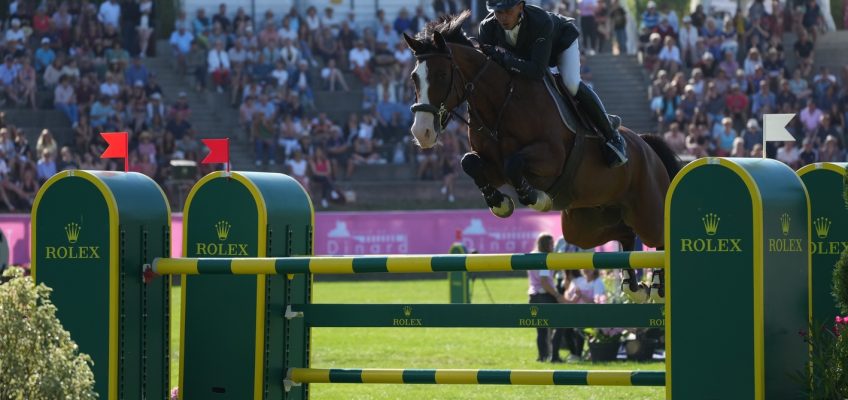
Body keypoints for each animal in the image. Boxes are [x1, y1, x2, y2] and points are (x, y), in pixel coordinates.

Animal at [400, 10, 680, 300]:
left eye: (442, 74)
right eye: (414, 78)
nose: (422, 133)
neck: (502, 103)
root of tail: (646, 145)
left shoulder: (551, 157)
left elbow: (514, 164)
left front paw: (535, 198)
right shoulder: (492, 166)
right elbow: (471, 163)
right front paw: (499, 202)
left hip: (647, 209)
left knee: (657, 236)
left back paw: (658, 286)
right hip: (587, 225)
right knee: (624, 233)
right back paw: (633, 286)